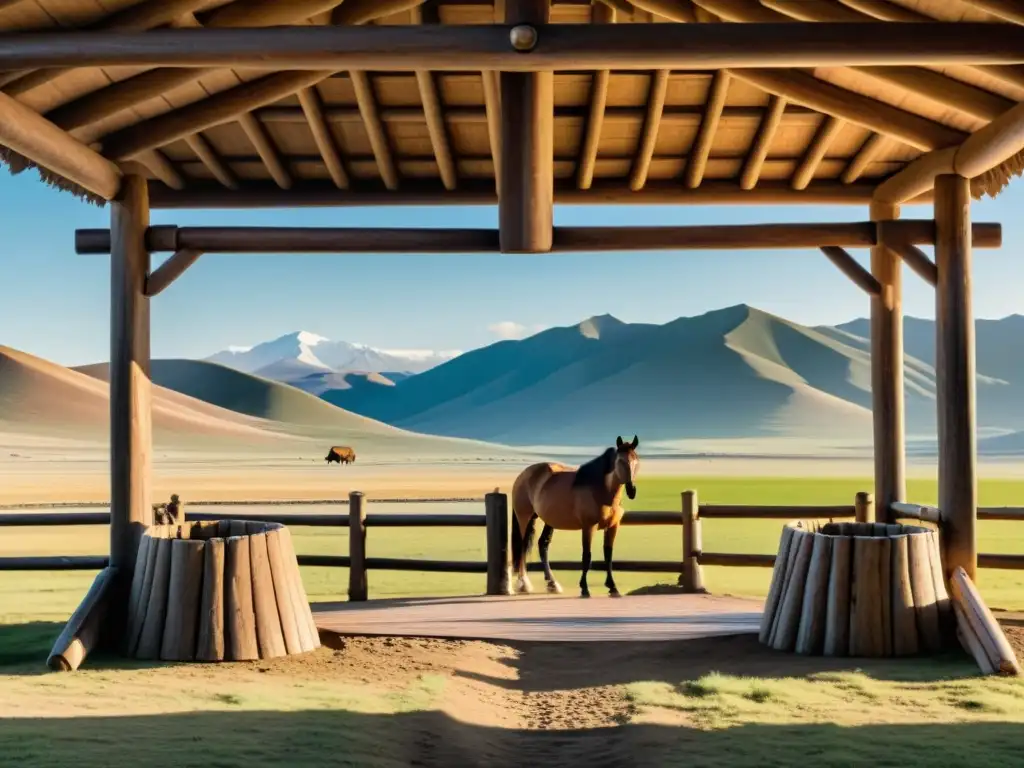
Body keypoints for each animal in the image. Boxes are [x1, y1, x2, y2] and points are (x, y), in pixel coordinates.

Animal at [512, 436, 638, 598]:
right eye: (620, 461)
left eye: (636, 460)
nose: (631, 490)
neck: (601, 488)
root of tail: (522, 475)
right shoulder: (588, 526)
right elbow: (586, 556)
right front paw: (584, 589)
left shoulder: (612, 527)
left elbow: (608, 556)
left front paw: (613, 588)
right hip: (525, 518)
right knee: (522, 547)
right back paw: (524, 584)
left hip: (549, 520)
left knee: (543, 544)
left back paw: (552, 584)